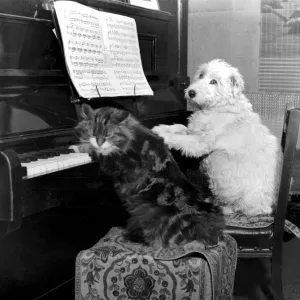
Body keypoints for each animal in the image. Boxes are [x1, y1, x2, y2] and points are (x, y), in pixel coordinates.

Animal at [71, 104, 224, 247]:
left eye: (108, 135)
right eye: (93, 133)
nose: (99, 142)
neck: (132, 138)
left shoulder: (119, 162)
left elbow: (101, 154)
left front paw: (78, 147)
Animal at [154, 58, 282, 216]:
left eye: (214, 81)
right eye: (201, 75)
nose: (191, 92)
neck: (219, 106)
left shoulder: (200, 143)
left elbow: (181, 139)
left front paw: (163, 136)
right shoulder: (194, 131)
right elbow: (179, 127)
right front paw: (160, 128)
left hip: (249, 200)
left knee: (246, 209)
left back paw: (225, 208)